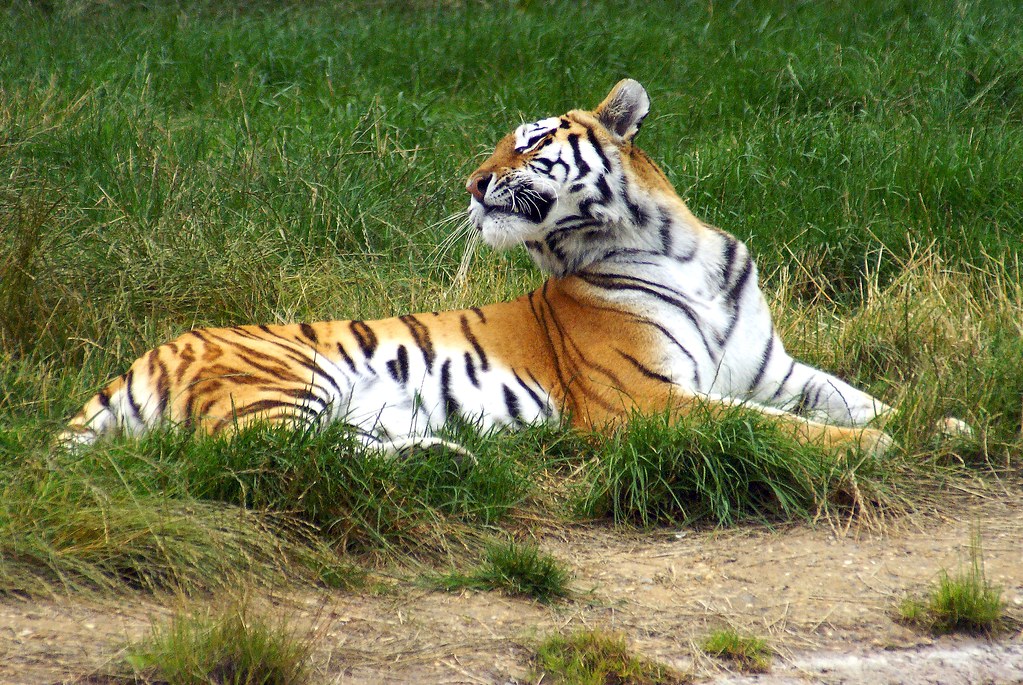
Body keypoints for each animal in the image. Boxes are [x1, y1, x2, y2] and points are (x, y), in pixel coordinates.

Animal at [61, 79, 945, 457]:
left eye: (528, 141)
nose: (470, 182)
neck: (672, 246)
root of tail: (144, 356)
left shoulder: (772, 367)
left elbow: (853, 397)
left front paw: (935, 425)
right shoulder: (644, 399)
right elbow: (770, 425)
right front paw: (872, 449)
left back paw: (442, 452)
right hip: (285, 380)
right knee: (260, 455)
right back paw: (441, 458)